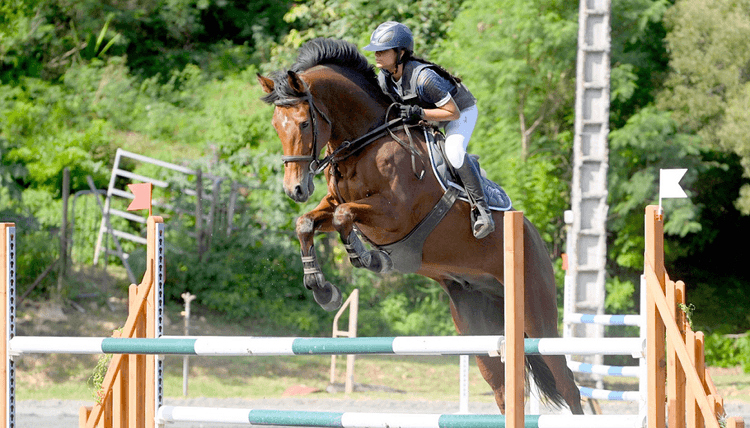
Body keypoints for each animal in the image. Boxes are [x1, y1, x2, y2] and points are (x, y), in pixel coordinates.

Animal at [260, 37, 588, 414]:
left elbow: (345, 218)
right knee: (503, 387)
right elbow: (306, 223)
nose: (295, 189)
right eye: (276, 125)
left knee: (567, 383)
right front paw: (321, 288)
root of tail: (534, 238)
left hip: (536, 316)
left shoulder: (395, 214)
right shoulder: (333, 204)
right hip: (477, 324)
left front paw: (368, 258)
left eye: (302, 123)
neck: (366, 142)